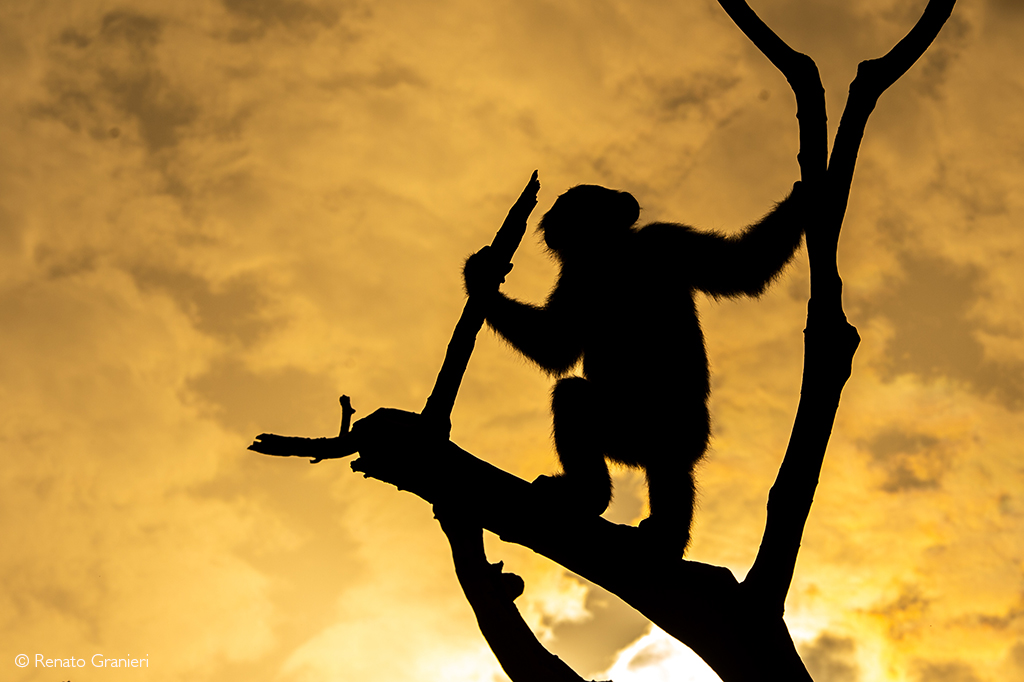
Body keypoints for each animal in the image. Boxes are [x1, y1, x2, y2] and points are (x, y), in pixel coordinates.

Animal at [463, 181, 807, 554]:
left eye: (570, 201)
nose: (549, 214)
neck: (612, 253)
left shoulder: (656, 240)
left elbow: (742, 267)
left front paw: (480, 280)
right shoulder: (601, 266)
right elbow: (557, 344)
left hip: (641, 425)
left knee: (577, 401)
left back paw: (596, 499)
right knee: (668, 467)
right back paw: (661, 533)